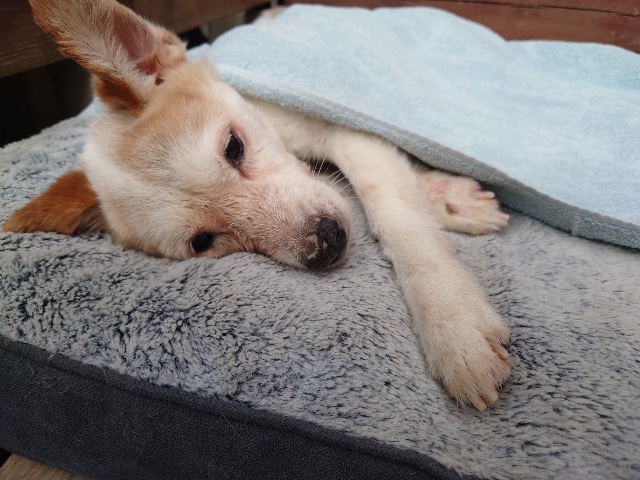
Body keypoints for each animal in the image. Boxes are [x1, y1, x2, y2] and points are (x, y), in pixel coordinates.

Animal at [3, 0, 511, 411]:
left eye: (234, 147)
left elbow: (396, 214)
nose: (327, 243)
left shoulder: (347, 130)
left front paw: (454, 326)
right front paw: (448, 199)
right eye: (203, 242)